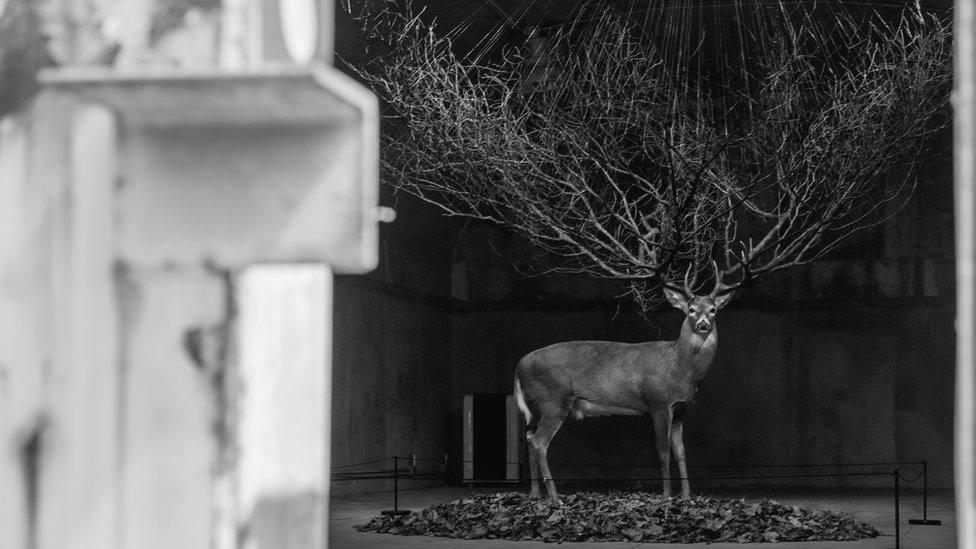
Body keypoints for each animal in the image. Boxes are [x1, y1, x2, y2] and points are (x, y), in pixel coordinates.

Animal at [520, 266, 732, 500]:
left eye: (713, 310)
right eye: (691, 310)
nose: (703, 325)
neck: (680, 365)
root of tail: (520, 365)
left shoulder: (680, 409)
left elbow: (681, 453)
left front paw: (687, 496)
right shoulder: (658, 403)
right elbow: (663, 452)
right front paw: (667, 495)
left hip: (537, 407)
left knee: (529, 438)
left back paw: (535, 493)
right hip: (553, 401)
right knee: (538, 443)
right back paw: (555, 496)